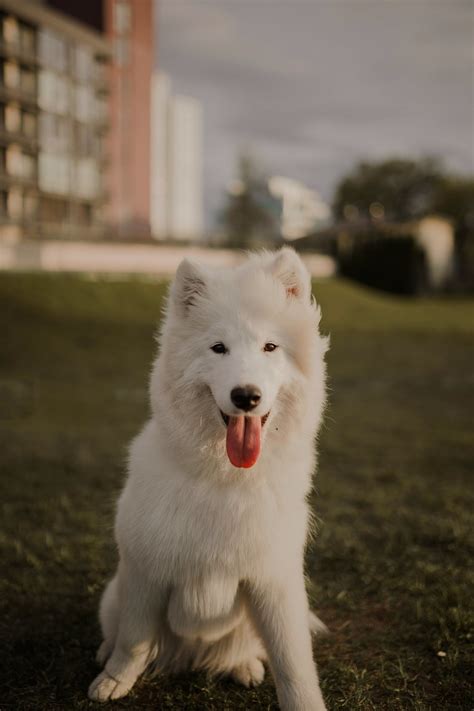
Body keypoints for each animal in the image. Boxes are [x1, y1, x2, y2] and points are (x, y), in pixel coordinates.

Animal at [87, 248, 328, 708]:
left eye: (270, 347)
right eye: (219, 348)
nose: (245, 396)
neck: (225, 478)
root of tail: (193, 654)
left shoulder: (274, 581)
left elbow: (293, 662)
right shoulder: (148, 573)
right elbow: (134, 641)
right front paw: (114, 680)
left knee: (248, 648)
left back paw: (244, 666)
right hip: (113, 596)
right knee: (120, 633)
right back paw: (106, 655)